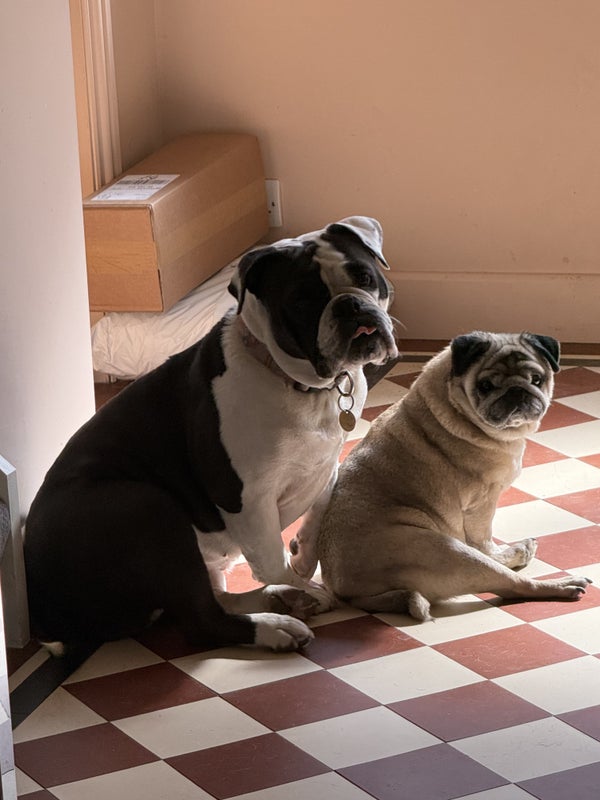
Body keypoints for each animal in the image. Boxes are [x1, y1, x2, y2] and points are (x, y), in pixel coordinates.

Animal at [24, 216, 398, 654]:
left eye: (364, 277)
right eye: (302, 300)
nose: (350, 304)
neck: (295, 381)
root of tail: (49, 620)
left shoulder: (326, 462)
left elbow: (319, 510)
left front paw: (304, 561)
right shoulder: (247, 496)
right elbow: (271, 559)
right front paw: (301, 582)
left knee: (210, 598)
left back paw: (282, 602)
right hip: (147, 504)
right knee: (203, 620)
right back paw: (279, 623)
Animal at [291, 331, 591, 619]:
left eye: (537, 379)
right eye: (485, 386)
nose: (517, 391)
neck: (454, 406)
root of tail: (343, 588)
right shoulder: (483, 504)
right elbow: (485, 540)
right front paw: (500, 551)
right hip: (450, 551)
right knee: (511, 583)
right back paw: (556, 583)